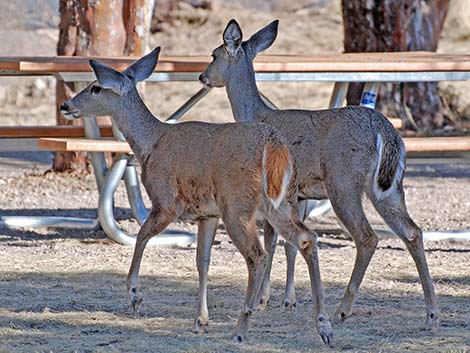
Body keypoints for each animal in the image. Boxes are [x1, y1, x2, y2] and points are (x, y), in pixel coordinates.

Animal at [58, 46, 334, 344]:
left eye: (96, 87)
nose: (66, 106)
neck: (151, 144)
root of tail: (273, 147)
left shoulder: (166, 201)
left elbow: (141, 236)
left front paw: (135, 296)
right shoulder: (207, 214)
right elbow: (202, 260)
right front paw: (200, 321)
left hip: (237, 204)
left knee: (257, 254)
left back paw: (241, 329)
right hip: (281, 202)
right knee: (306, 238)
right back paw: (324, 327)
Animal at [198, 19, 440, 330]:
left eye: (214, 54)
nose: (202, 76)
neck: (256, 116)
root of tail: (385, 130)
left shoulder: (275, 190)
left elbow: (272, 241)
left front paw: (263, 300)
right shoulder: (299, 194)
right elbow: (288, 244)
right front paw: (285, 299)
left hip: (343, 182)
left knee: (367, 237)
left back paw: (342, 310)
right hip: (389, 187)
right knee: (413, 232)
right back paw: (431, 313)